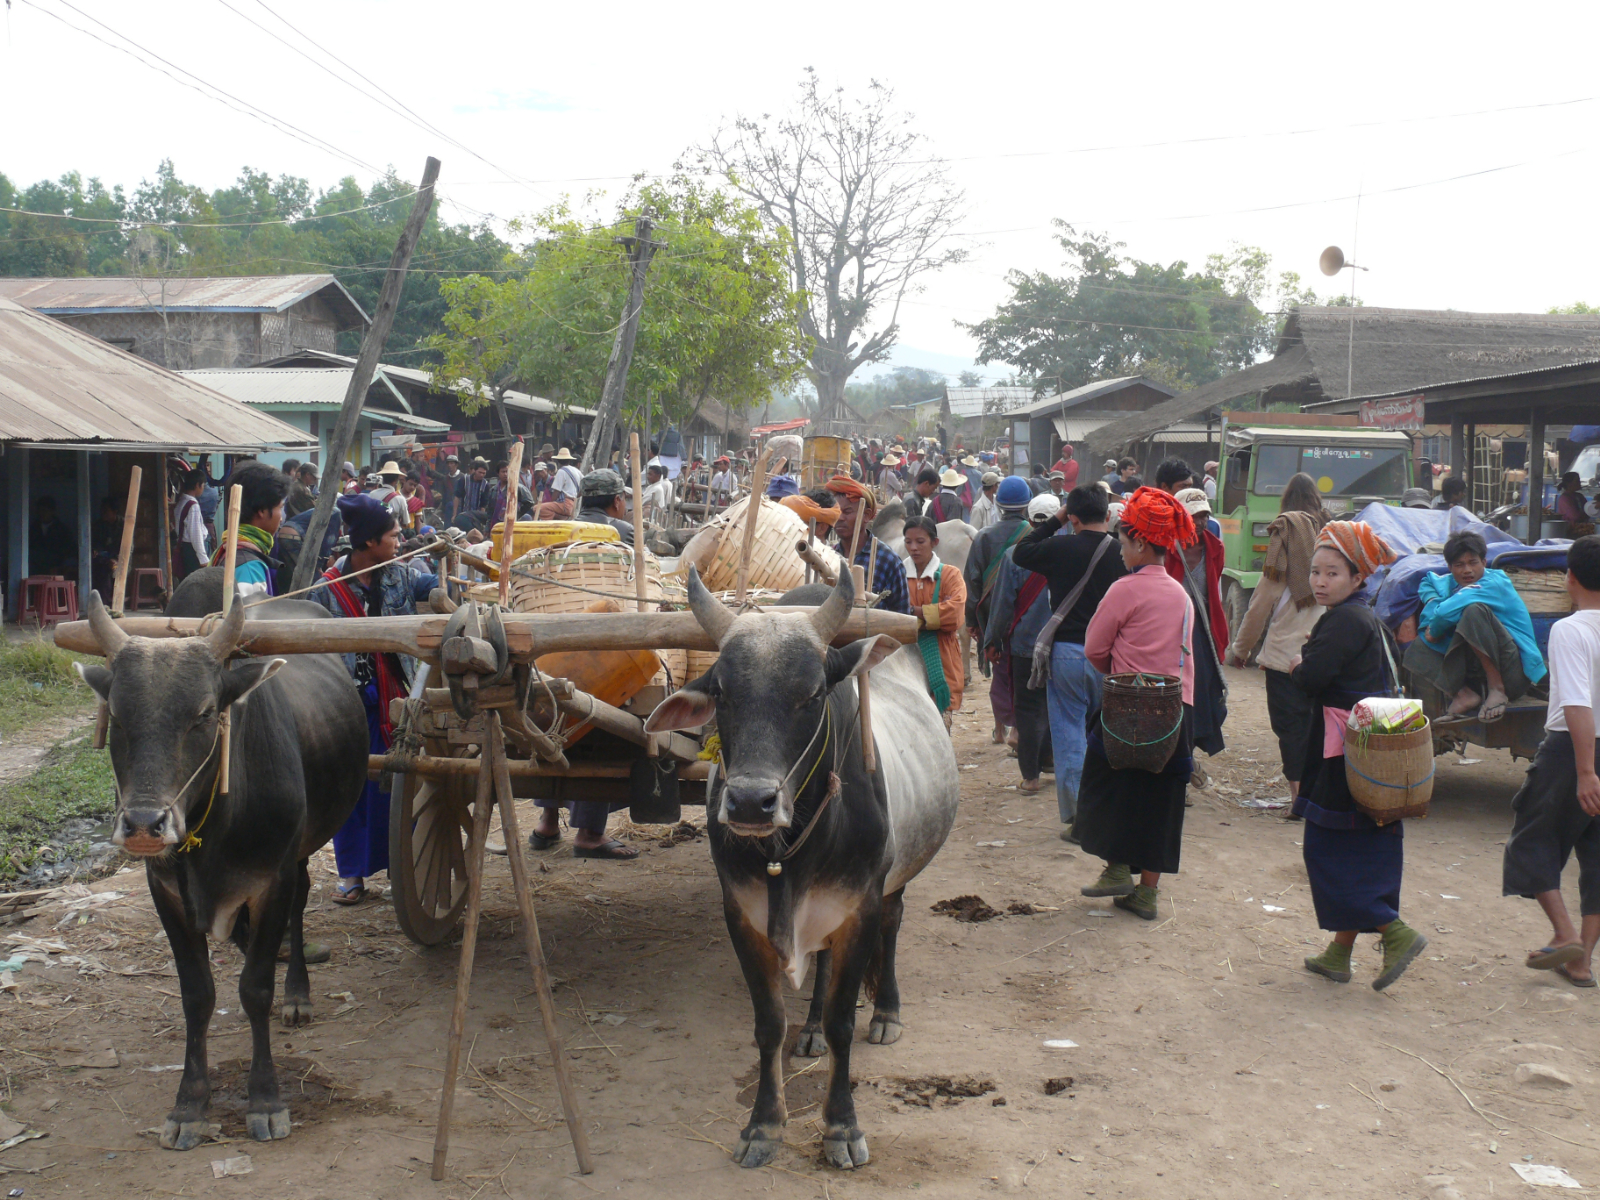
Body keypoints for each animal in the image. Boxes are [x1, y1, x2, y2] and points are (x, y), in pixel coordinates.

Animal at [74, 573, 367, 1150]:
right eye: (116, 715)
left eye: (205, 714)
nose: (144, 824)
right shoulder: (165, 892)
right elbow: (197, 995)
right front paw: (190, 1106)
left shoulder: (271, 878)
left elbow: (254, 989)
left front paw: (266, 1100)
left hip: (299, 852)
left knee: (300, 905)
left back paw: (297, 993)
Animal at [644, 567, 959, 1170]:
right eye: (721, 692)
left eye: (813, 693)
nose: (749, 802)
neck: (787, 855)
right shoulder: (742, 916)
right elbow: (770, 1024)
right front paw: (763, 1125)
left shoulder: (859, 908)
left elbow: (842, 1023)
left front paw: (841, 1127)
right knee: (819, 970)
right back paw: (809, 1028)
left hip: (894, 883)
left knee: (892, 929)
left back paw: (886, 1012)